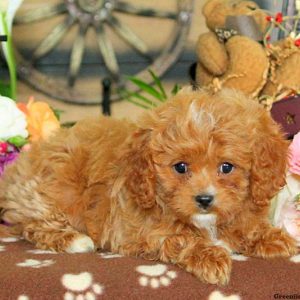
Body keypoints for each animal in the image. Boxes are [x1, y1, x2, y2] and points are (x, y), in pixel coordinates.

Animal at [0, 88, 296, 284]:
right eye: (180, 167)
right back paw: (76, 240)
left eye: (226, 167)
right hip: (51, 193)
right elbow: (179, 238)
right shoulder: (135, 230)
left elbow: (247, 225)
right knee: (34, 227)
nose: (204, 199)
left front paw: (272, 237)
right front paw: (210, 257)